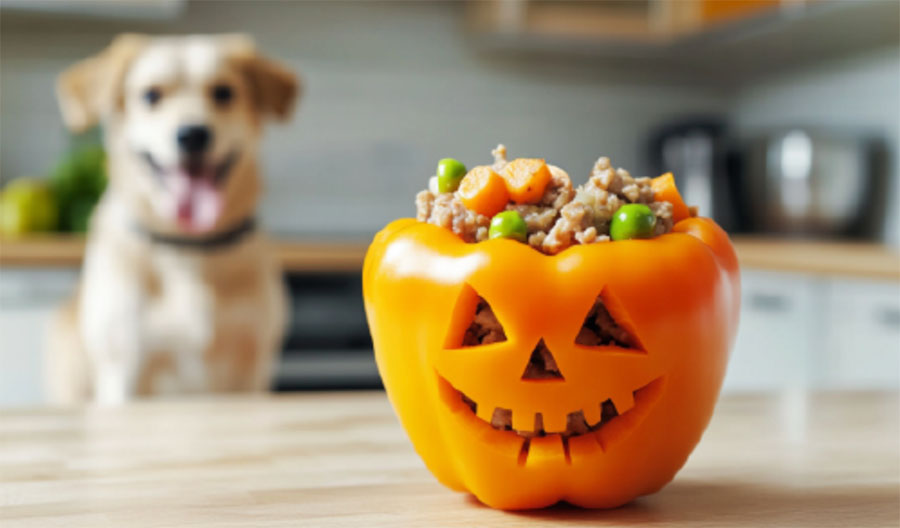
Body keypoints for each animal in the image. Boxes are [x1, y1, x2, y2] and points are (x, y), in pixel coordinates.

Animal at [46, 34, 298, 404]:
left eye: (224, 92)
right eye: (151, 95)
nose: (193, 135)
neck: (188, 248)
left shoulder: (253, 367)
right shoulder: (126, 367)